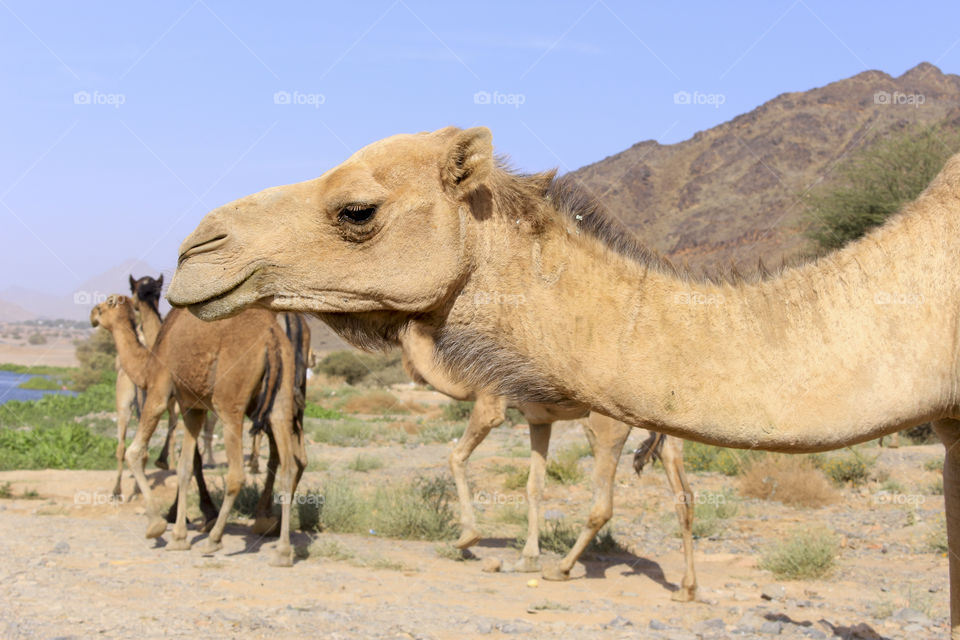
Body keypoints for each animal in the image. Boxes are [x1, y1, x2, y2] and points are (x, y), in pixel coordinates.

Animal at [90, 296, 308, 564]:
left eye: (103, 307)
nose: (92, 315)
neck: (149, 360)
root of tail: (272, 338)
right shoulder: (192, 408)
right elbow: (185, 468)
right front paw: (178, 538)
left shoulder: (160, 389)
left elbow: (135, 452)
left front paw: (156, 526)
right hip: (280, 398)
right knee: (289, 465)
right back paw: (282, 551)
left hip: (230, 402)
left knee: (237, 473)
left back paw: (215, 540)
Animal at [400, 324, 696, 600]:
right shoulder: (539, 420)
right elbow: (534, 486)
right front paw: (527, 559)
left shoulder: (490, 404)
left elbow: (456, 457)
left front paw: (467, 538)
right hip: (669, 431)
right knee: (685, 497)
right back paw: (686, 589)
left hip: (605, 424)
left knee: (604, 504)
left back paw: (561, 569)